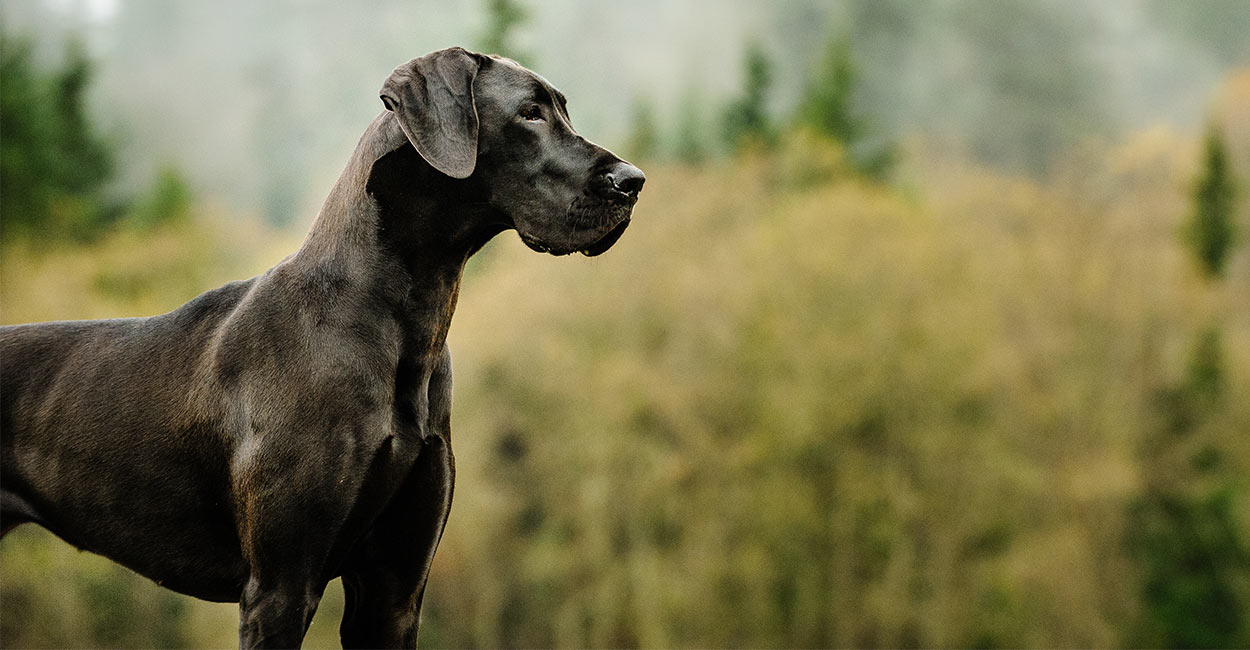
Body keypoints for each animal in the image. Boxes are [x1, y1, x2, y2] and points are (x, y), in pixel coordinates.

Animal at [0, 48, 645, 645]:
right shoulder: (281, 587)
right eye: (529, 113)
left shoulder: (393, 593)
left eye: (562, 109)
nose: (634, 181)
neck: (401, 323)